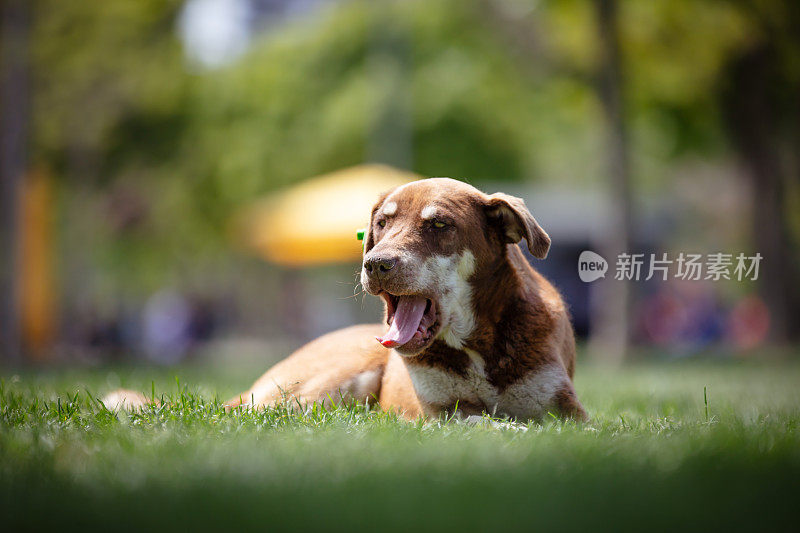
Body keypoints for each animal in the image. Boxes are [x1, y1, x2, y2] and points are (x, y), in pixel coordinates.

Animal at [103, 179, 584, 420]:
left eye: (439, 225)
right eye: (382, 224)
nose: (376, 263)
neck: (477, 344)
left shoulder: (567, 410)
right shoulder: (445, 412)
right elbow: (488, 421)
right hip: (328, 383)